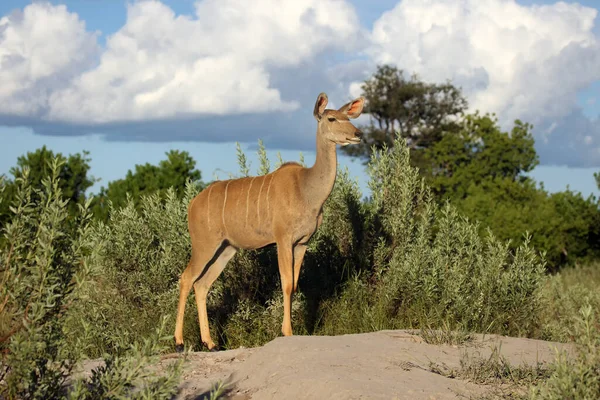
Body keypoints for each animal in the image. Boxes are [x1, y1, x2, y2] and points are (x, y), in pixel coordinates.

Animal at [173, 93, 366, 350]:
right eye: (332, 118)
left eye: (349, 117)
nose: (358, 134)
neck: (307, 189)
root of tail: (192, 204)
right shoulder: (283, 239)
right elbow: (286, 284)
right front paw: (287, 332)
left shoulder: (302, 243)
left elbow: (295, 284)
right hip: (204, 244)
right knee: (186, 278)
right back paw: (179, 341)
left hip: (226, 249)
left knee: (202, 284)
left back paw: (211, 343)